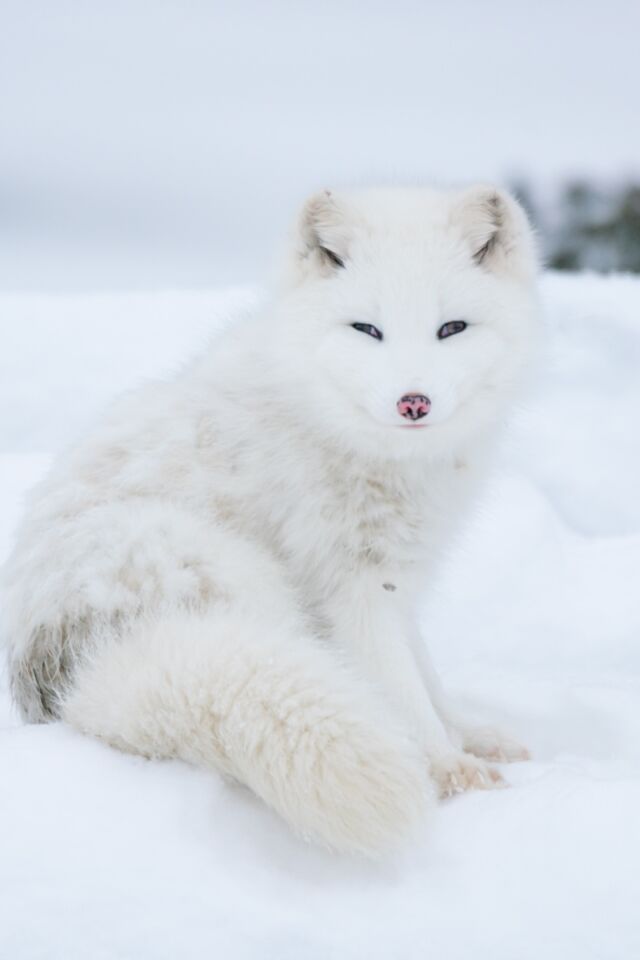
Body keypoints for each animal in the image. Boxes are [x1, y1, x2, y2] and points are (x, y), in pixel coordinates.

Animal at [2, 188, 536, 856]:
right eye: (368, 329)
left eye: (451, 328)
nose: (413, 402)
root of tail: (71, 669)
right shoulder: (354, 587)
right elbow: (405, 690)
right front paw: (450, 770)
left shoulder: (397, 578)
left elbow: (428, 679)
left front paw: (470, 737)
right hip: (242, 580)